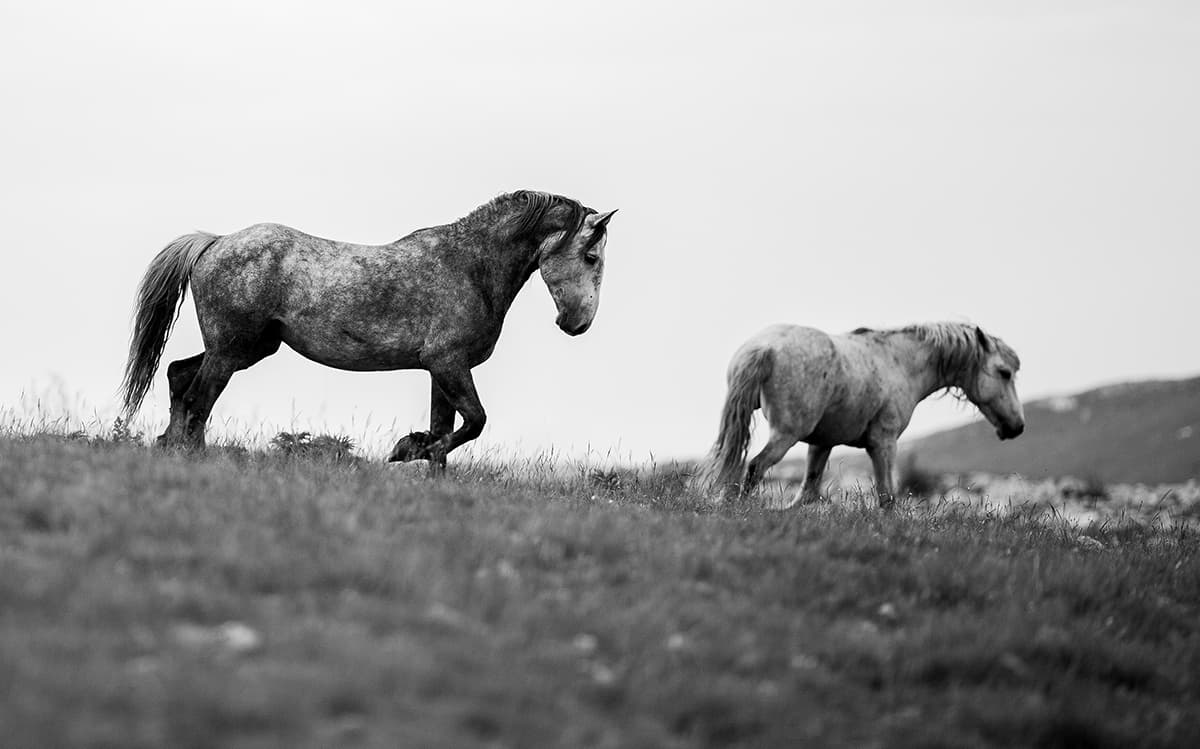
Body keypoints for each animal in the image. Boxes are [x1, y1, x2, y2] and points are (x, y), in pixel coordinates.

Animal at [119, 190, 617, 467]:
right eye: (591, 256)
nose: (578, 323)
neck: (471, 266)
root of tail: (216, 242)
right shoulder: (450, 364)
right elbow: (471, 423)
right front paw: (406, 449)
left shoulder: (440, 370)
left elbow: (445, 431)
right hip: (232, 350)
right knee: (198, 399)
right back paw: (191, 456)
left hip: (248, 348)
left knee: (180, 377)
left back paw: (167, 447)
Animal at [704, 322, 1024, 508]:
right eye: (1004, 372)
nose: (1017, 426)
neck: (900, 362)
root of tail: (764, 346)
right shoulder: (883, 443)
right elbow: (886, 498)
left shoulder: (821, 443)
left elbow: (806, 494)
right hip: (786, 435)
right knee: (755, 467)